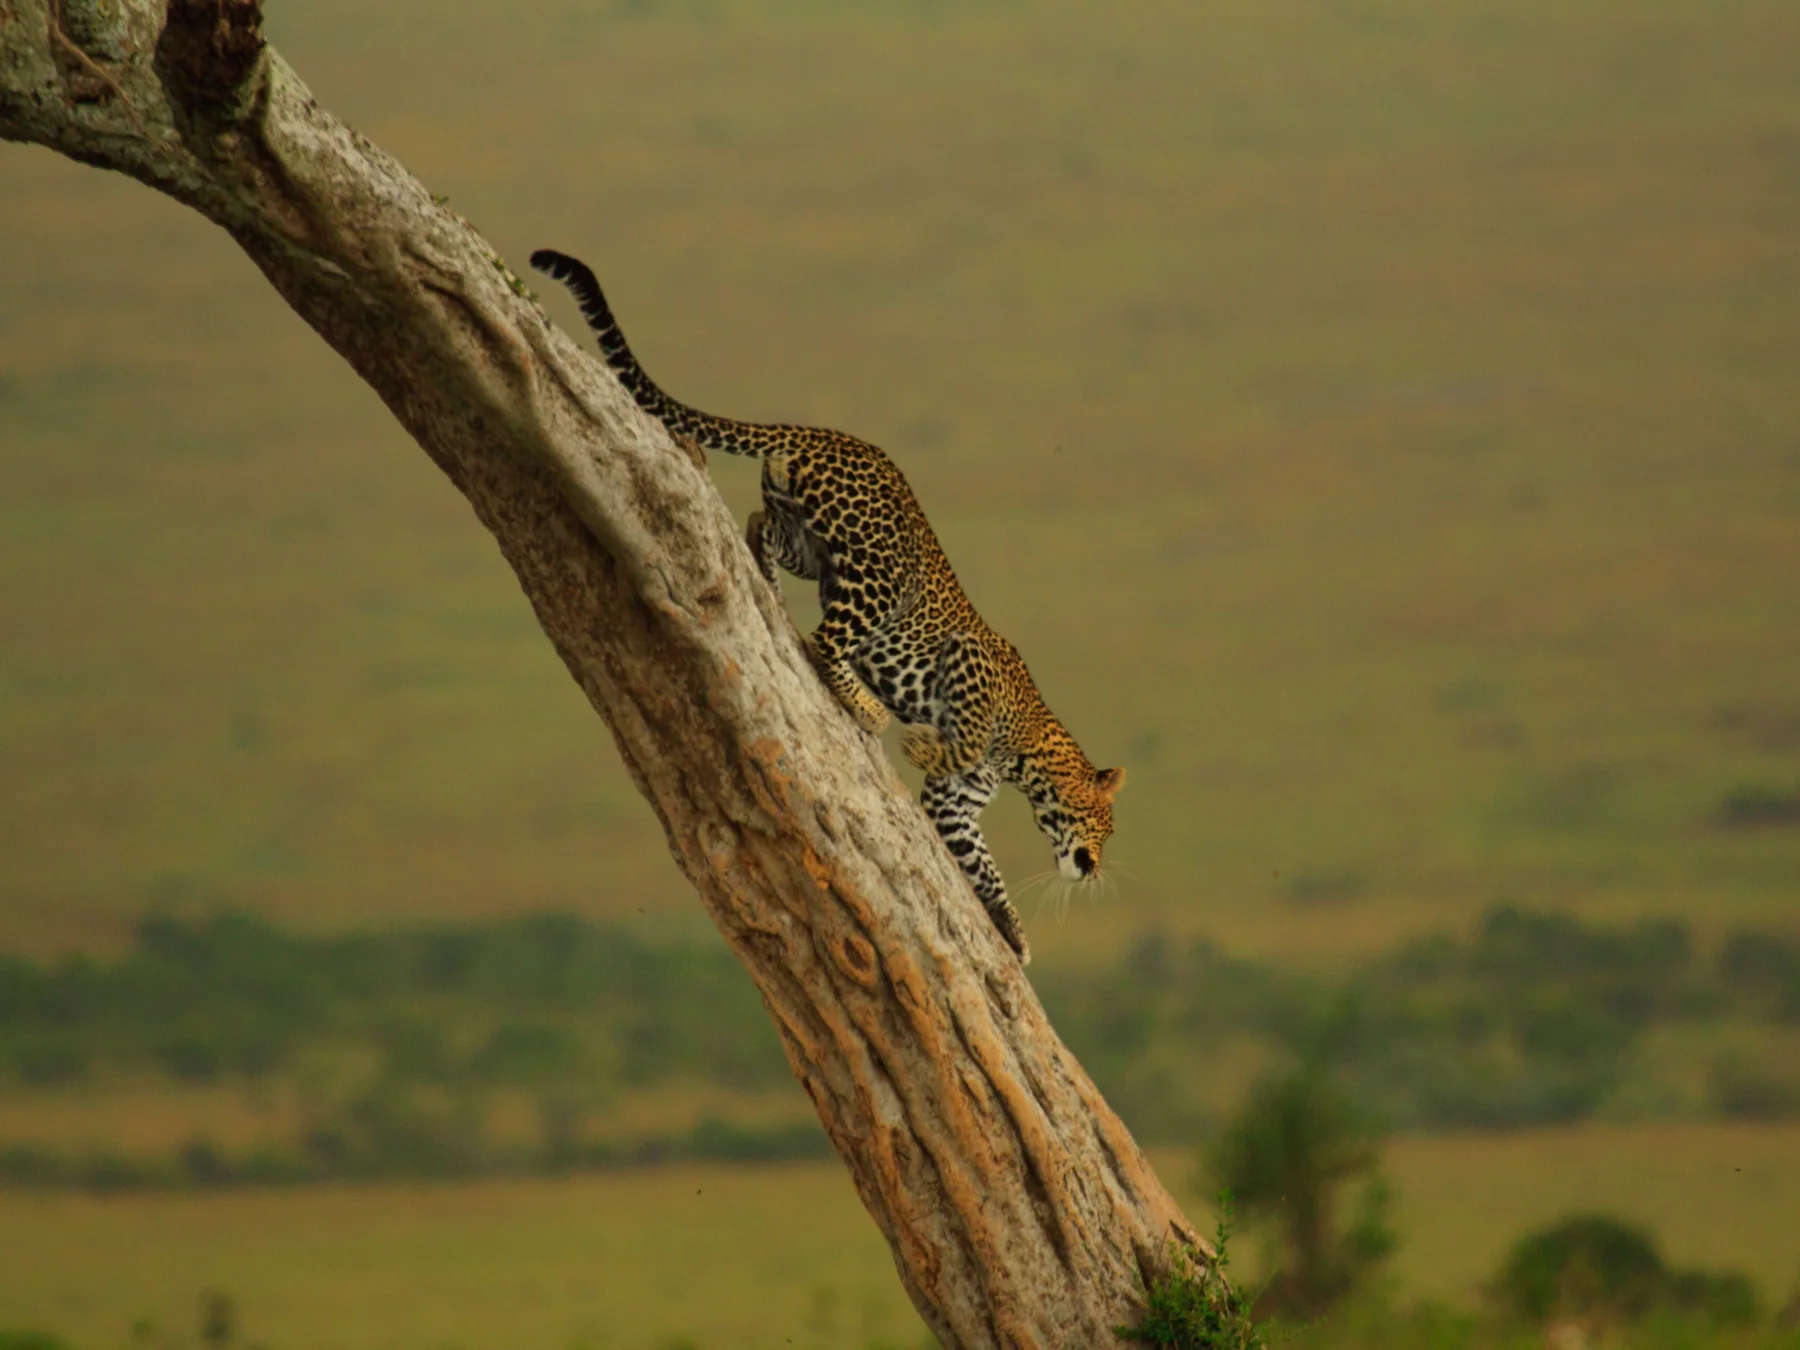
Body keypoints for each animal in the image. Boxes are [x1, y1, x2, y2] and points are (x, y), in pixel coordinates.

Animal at [531, 248, 1125, 963]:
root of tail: (830, 435)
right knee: (825, 640)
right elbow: (958, 743)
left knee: (760, 525)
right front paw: (919, 742)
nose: (1093, 869)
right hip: (879, 575)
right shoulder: (967, 667)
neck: (1029, 753)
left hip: (811, 544)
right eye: (1103, 825)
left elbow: (983, 864)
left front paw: (1013, 932)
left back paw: (767, 585)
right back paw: (867, 707)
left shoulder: (955, 804)